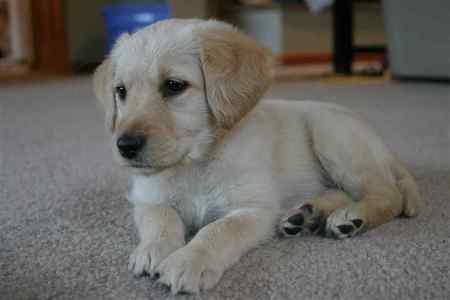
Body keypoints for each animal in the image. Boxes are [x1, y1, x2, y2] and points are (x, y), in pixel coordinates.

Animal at [93, 18, 424, 292]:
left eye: (174, 86)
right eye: (121, 91)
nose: (125, 146)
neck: (195, 163)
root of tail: (384, 147)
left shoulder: (254, 209)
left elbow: (218, 230)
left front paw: (189, 261)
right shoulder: (147, 198)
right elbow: (160, 219)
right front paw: (153, 249)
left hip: (334, 136)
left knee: (387, 194)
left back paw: (351, 217)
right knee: (340, 191)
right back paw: (305, 215)